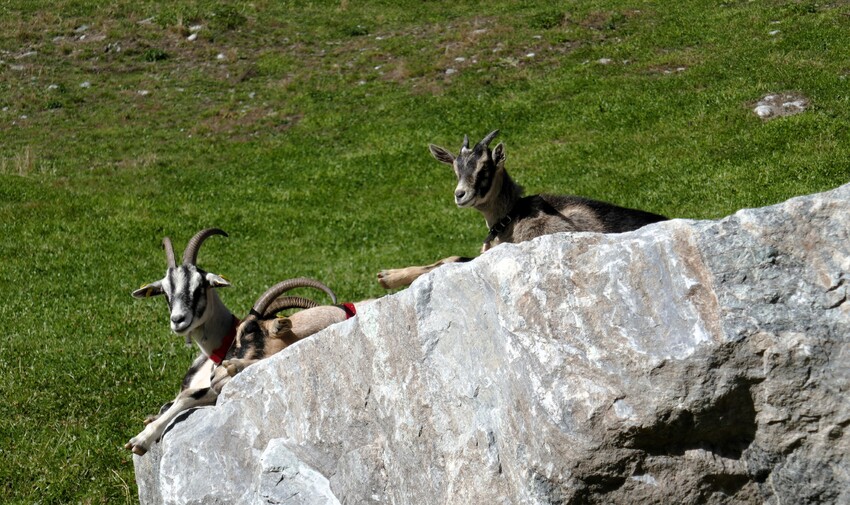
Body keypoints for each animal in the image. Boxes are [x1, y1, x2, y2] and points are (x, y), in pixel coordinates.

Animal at [374, 130, 664, 288]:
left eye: (485, 169)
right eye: (455, 169)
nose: (460, 195)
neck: (512, 217)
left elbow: (453, 261)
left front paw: (388, 276)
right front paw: (387, 275)